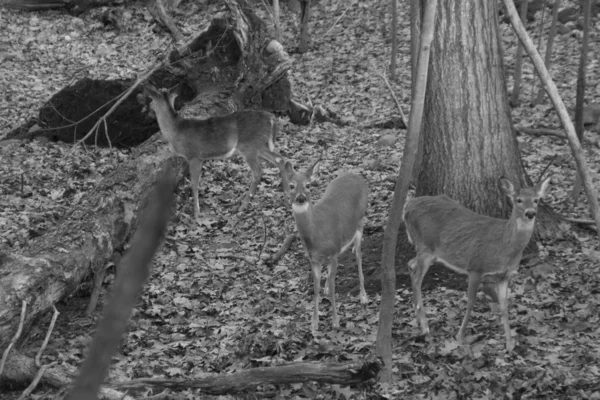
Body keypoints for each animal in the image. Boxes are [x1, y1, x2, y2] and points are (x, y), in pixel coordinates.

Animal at [143, 83, 288, 219]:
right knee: (281, 160)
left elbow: (194, 183)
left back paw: (243, 205)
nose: (148, 111)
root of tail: (272, 118)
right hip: (260, 145)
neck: (175, 130)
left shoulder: (194, 156)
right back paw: (287, 196)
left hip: (250, 146)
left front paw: (196, 213)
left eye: (150, 101)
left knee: (259, 171)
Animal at [284, 159, 368, 332]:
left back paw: (363, 296)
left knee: (358, 256)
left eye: (308, 185)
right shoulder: (313, 259)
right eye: (291, 185)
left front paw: (335, 322)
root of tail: (355, 175)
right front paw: (314, 323)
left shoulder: (333, 254)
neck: (316, 233)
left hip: (359, 223)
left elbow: (334, 288)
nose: (301, 198)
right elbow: (315, 288)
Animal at [406, 177, 552, 350]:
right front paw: (460, 337)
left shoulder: (503, 275)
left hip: (430, 252)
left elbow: (504, 306)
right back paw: (425, 325)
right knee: (416, 278)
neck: (504, 246)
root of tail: (408, 205)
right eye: (519, 200)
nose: (530, 213)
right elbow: (471, 302)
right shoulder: (475, 266)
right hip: (425, 247)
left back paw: (418, 318)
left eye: (536, 200)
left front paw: (510, 343)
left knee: (410, 265)